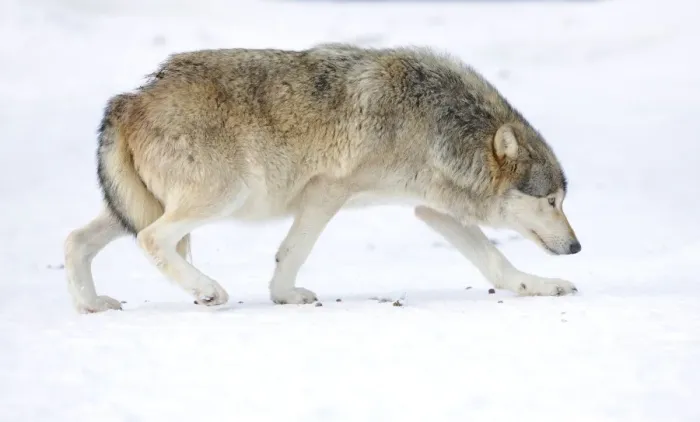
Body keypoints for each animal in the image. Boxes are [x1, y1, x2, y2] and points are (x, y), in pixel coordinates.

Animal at [63, 43, 581, 313]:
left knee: (75, 240)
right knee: (151, 239)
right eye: (551, 201)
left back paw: (92, 305)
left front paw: (539, 286)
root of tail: (130, 99)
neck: (430, 122)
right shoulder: (327, 190)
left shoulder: (430, 209)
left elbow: (494, 263)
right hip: (225, 196)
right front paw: (285, 295)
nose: (577, 247)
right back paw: (207, 290)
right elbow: (294, 250)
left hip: (132, 208)